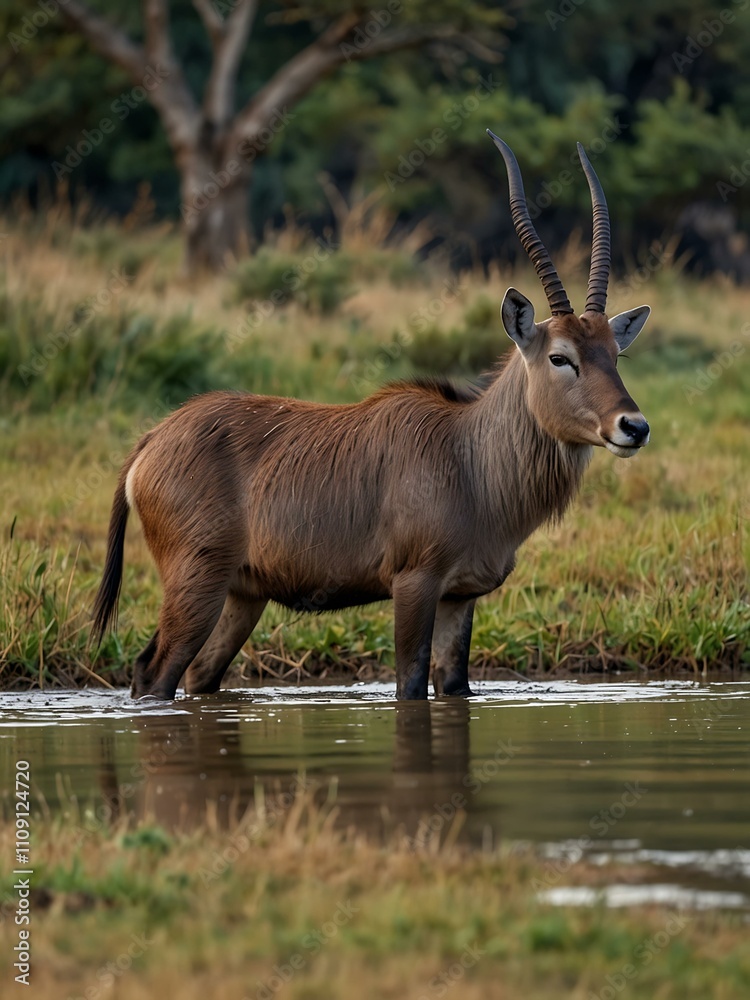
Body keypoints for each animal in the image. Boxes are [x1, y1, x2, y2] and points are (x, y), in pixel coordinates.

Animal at [92, 129, 652, 700]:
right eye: (560, 357)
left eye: (615, 353)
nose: (633, 427)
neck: (470, 457)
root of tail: (151, 442)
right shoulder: (414, 583)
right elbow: (410, 684)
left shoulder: (460, 596)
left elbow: (453, 684)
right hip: (196, 584)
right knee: (155, 671)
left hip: (242, 595)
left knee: (197, 675)